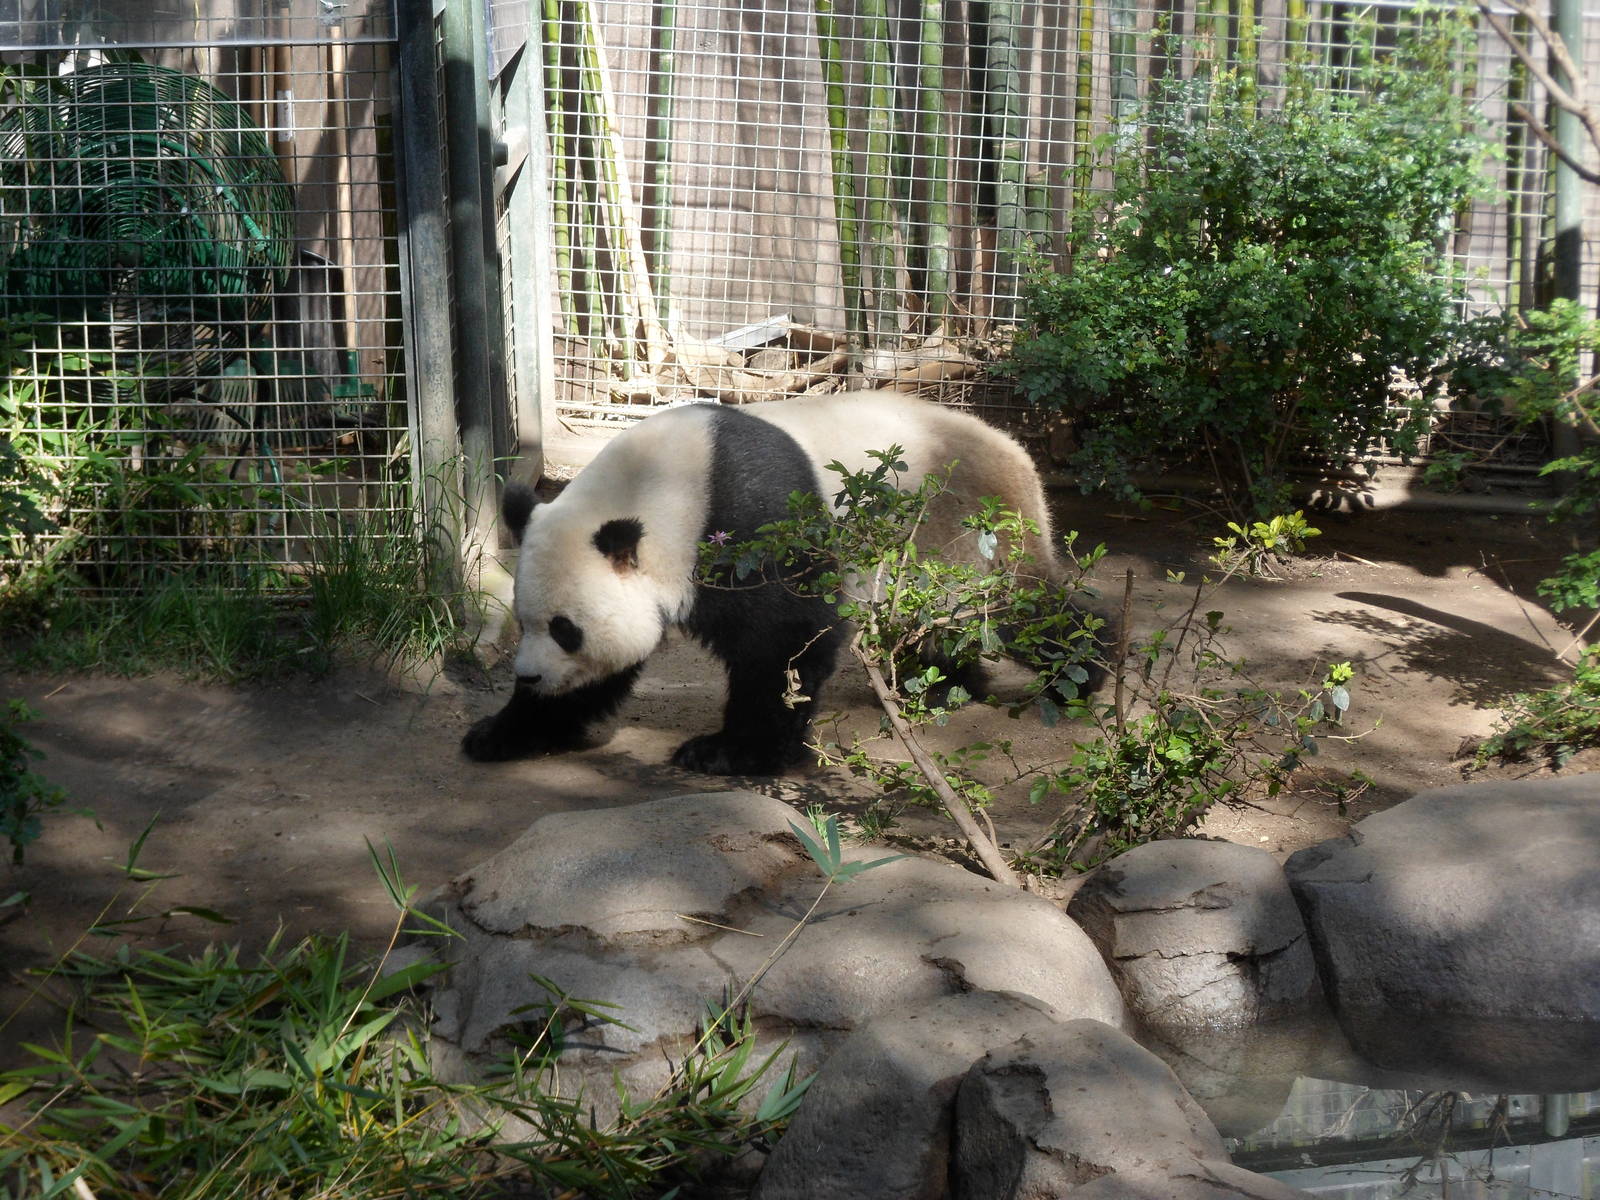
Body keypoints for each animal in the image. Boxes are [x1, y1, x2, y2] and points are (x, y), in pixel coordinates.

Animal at [461, 389, 1091, 776]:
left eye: (566, 629)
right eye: (526, 622)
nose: (529, 675)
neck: (660, 487)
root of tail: (1017, 451)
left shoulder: (754, 523)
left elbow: (785, 637)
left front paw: (727, 752)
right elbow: (603, 672)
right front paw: (500, 733)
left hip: (961, 525)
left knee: (1020, 607)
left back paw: (1078, 678)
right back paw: (930, 685)